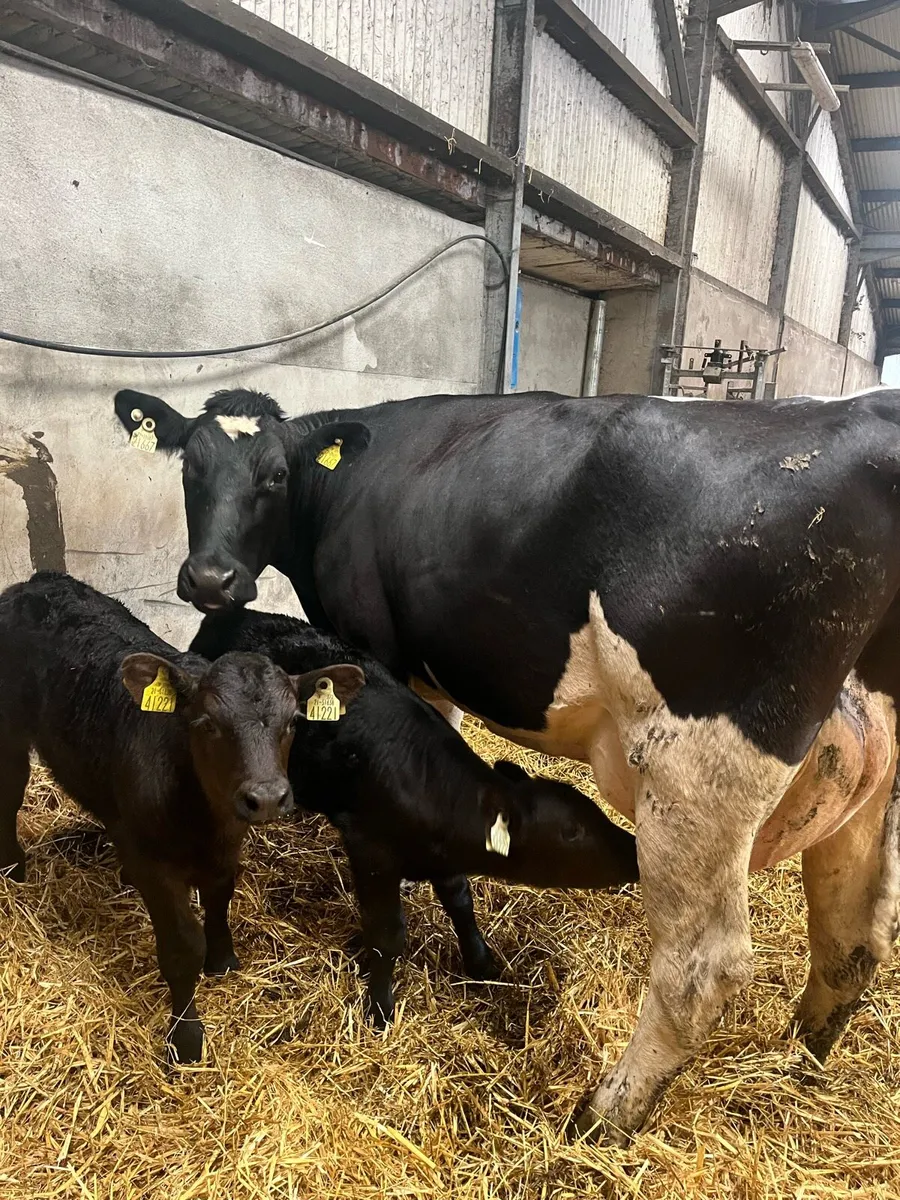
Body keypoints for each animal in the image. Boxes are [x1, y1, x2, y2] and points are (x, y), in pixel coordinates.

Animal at [0, 570, 365, 1063]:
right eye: (207, 723)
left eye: (293, 721)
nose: (267, 797)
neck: (202, 817)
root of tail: (39, 581)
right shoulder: (157, 868)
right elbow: (181, 945)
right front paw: (186, 1038)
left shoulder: (224, 851)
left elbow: (219, 899)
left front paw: (223, 960)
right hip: (9, 731)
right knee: (10, 791)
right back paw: (13, 868)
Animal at [190, 607, 638, 1024]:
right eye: (572, 831)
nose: (634, 850)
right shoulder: (371, 853)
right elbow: (387, 935)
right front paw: (380, 1009)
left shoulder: (444, 859)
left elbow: (460, 901)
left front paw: (480, 962)